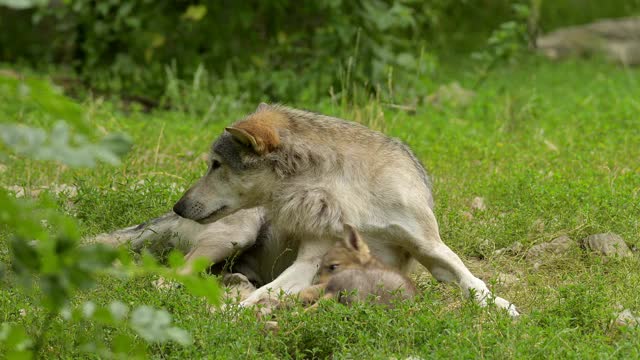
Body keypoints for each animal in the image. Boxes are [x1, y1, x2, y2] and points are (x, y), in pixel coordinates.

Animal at [96, 103, 520, 316]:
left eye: (216, 165)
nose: (180, 205)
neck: (349, 198)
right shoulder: (309, 264)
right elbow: (264, 296)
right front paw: (235, 316)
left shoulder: (432, 249)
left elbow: (473, 281)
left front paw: (503, 307)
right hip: (236, 234)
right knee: (168, 278)